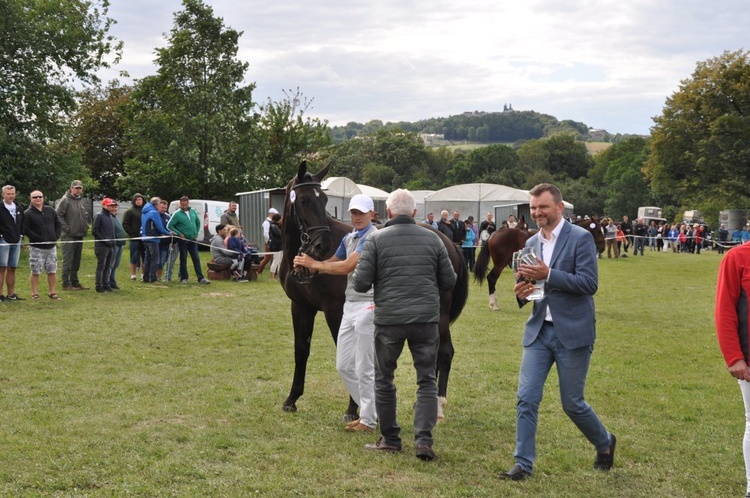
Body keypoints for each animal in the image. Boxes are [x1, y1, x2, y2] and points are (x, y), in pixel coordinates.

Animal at [282, 162, 470, 420]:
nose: (321, 245)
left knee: (445, 352)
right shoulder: (301, 307)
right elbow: (301, 350)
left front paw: (353, 408)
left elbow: (348, 355)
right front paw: (291, 399)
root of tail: (448, 242)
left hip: (439, 312)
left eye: (324, 200)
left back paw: (439, 405)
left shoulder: (335, 310)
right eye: (303, 200)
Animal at [478, 217, 608, 310]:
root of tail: (492, 235)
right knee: (492, 278)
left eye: (604, 231)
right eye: (598, 231)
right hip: (500, 263)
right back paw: (494, 304)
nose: (602, 248)